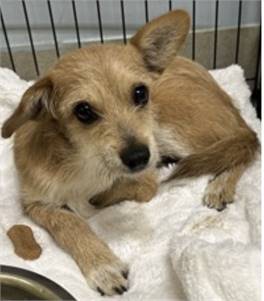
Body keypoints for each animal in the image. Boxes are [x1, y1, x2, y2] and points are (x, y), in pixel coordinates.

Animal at [1, 9, 258, 296]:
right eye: (83, 111)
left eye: (140, 93)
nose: (138, 157)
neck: (83, 160)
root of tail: (231, 103)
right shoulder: (34, 202)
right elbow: (68, 222)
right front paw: (101, 265)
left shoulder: (145, 177)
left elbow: (121, 194)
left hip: (176, 130)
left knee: (242, 146)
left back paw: (221, 185)